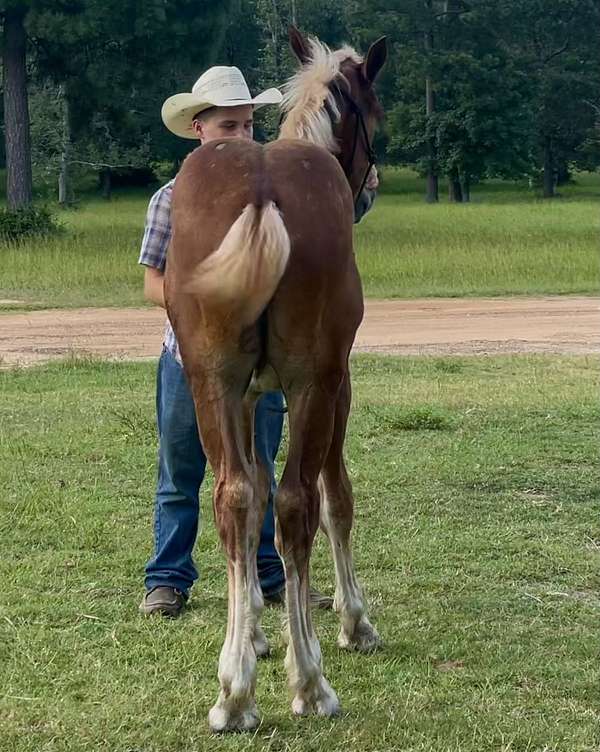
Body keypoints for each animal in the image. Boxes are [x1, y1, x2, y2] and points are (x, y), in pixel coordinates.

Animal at [164, 26, 386, 732]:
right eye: (373, 113)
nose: (370, 184)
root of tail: (262, 190)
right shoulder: (335, 385)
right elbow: (334, 496)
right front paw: (352, 620)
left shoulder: (250, 398)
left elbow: (252, 490)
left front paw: (258, 633)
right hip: (314, 384)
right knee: (297, 502)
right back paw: (310, 684)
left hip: (211, 382)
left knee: (232, 496)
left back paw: (234, 692)